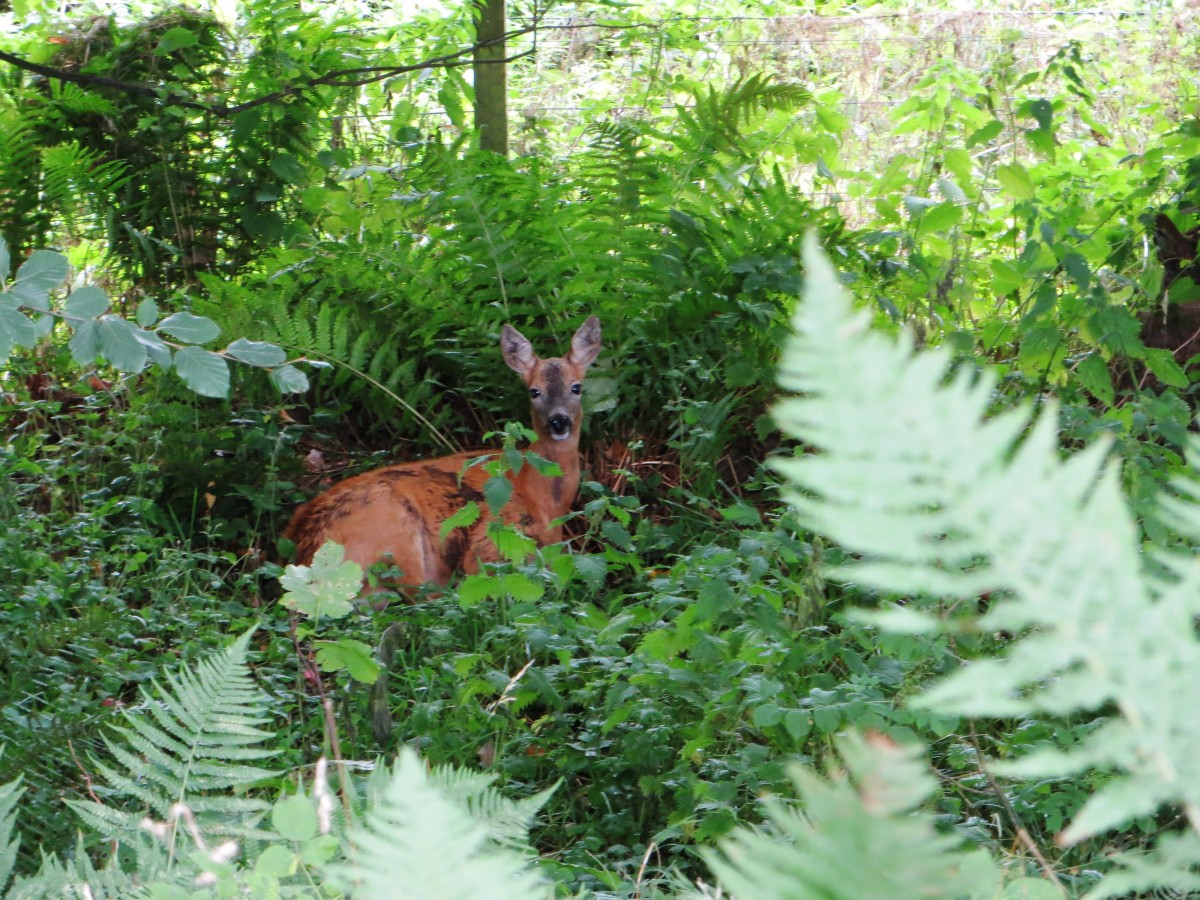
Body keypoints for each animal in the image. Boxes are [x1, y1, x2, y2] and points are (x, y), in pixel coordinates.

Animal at [282, 317, 602, 590]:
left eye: (576, 387)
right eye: (534, 392)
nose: (559, 422)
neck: (544, 500)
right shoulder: (492, 543)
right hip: (396, 532)